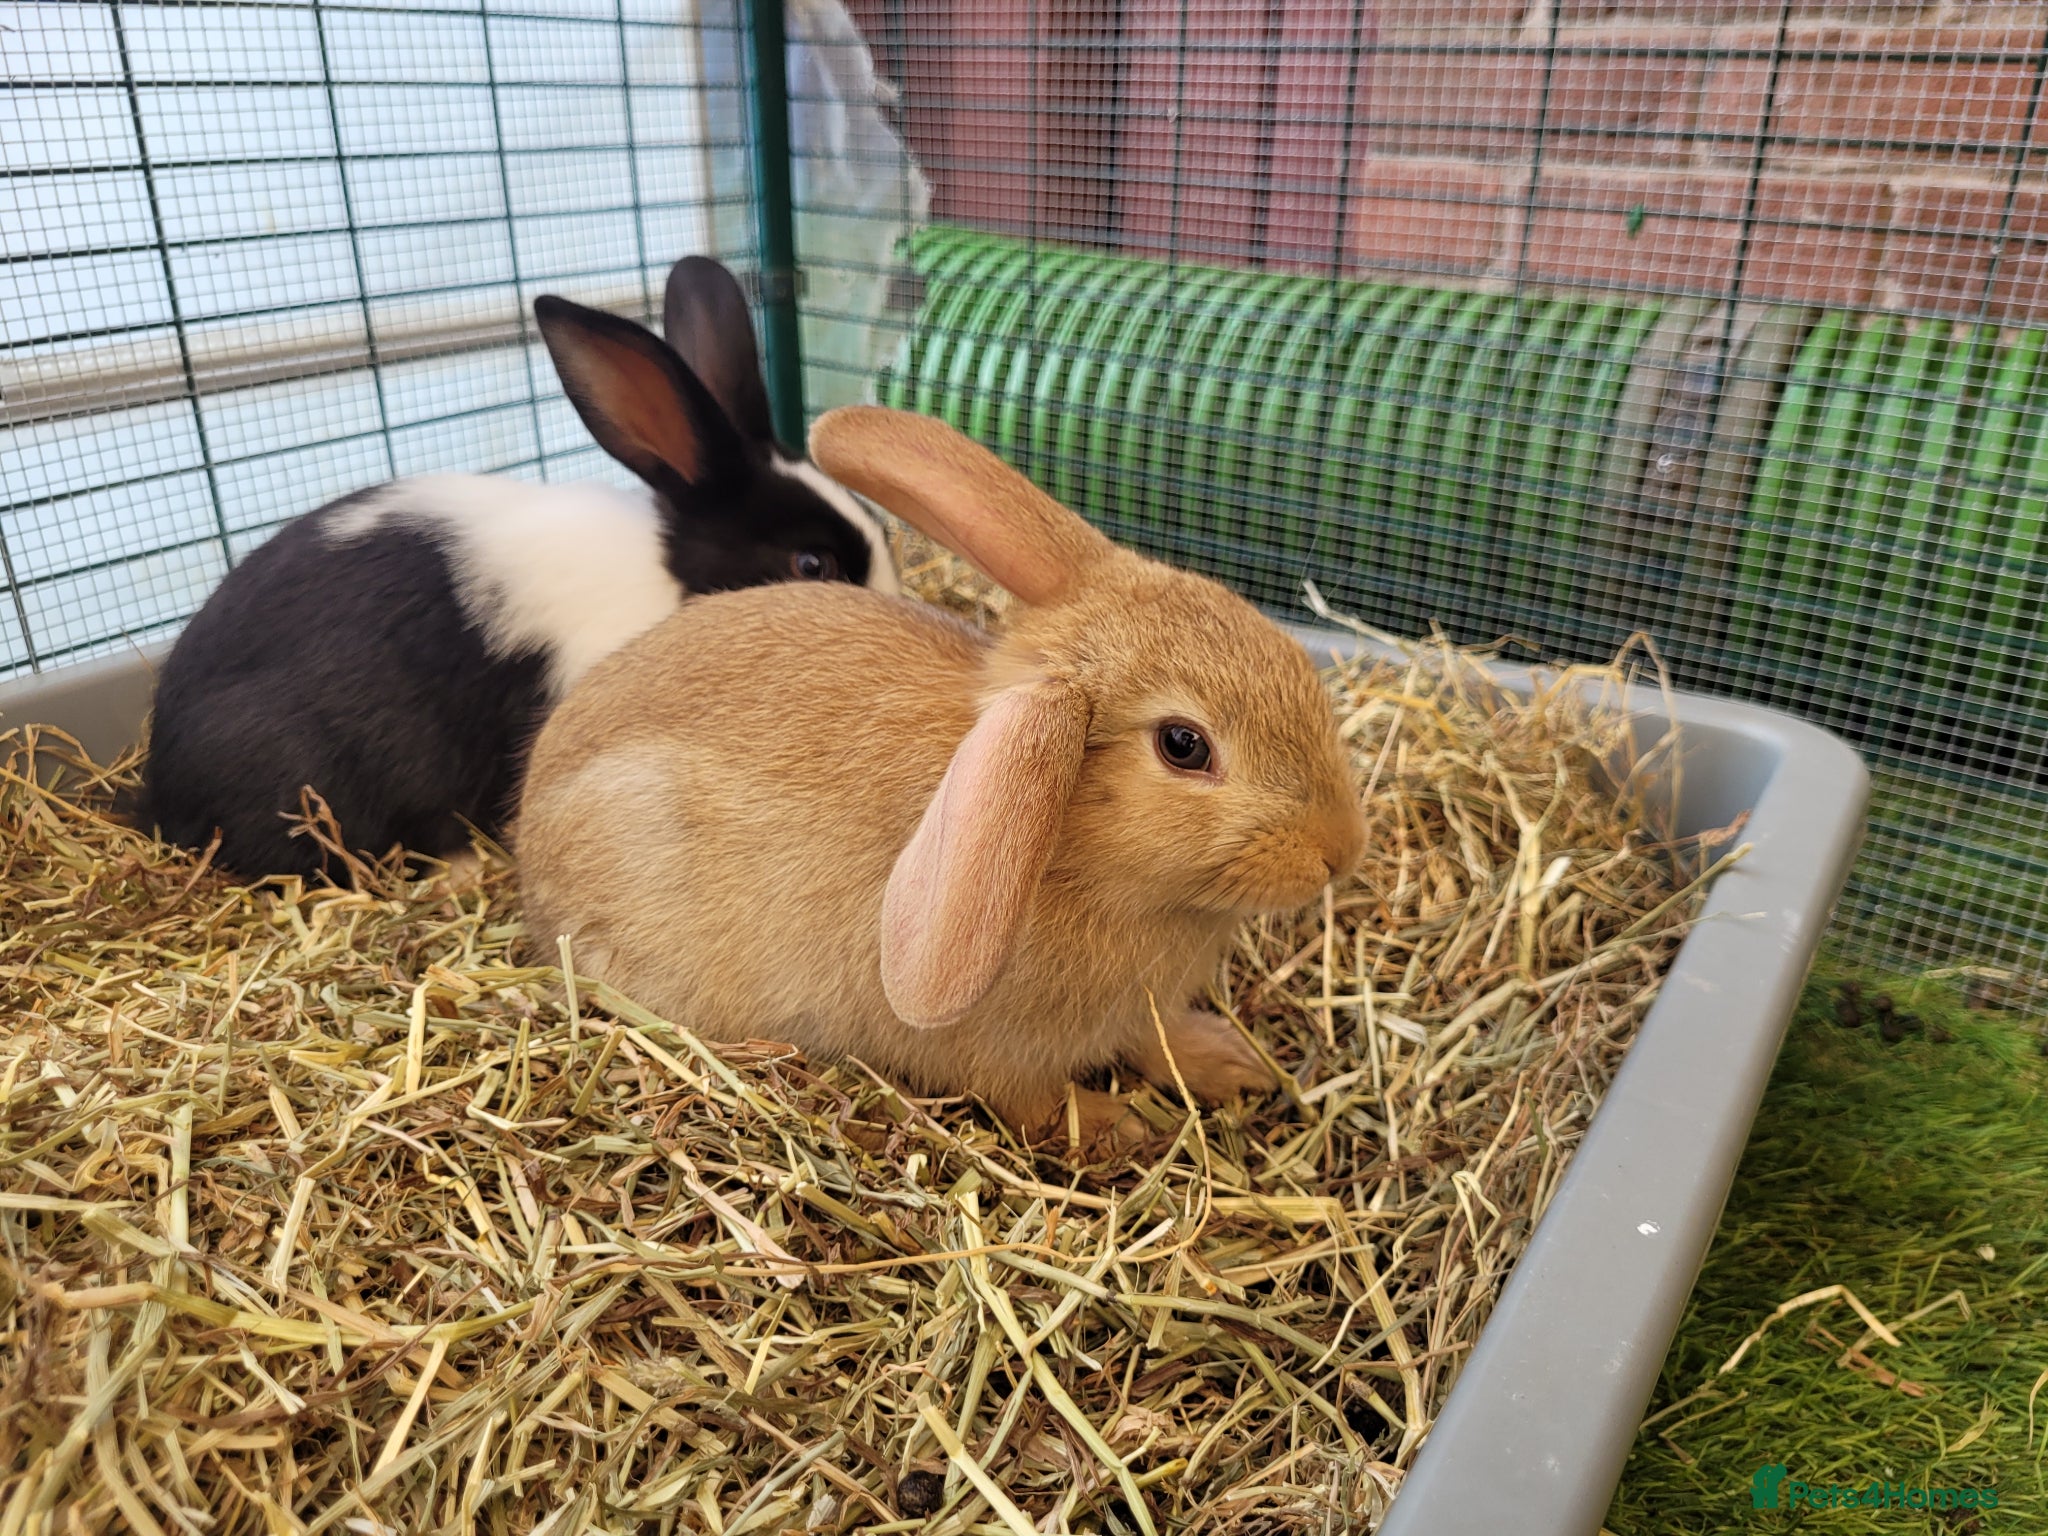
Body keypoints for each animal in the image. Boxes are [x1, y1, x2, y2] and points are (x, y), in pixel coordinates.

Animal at [514, 406, 1365, 1150]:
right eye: (1184, 746)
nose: (1339, 853)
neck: (1076, 847)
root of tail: (526, 847)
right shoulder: (998, 1057)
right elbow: (1035, 1103)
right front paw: (1118, 1127)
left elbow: (1157, 1044)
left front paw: (1230, 1063)